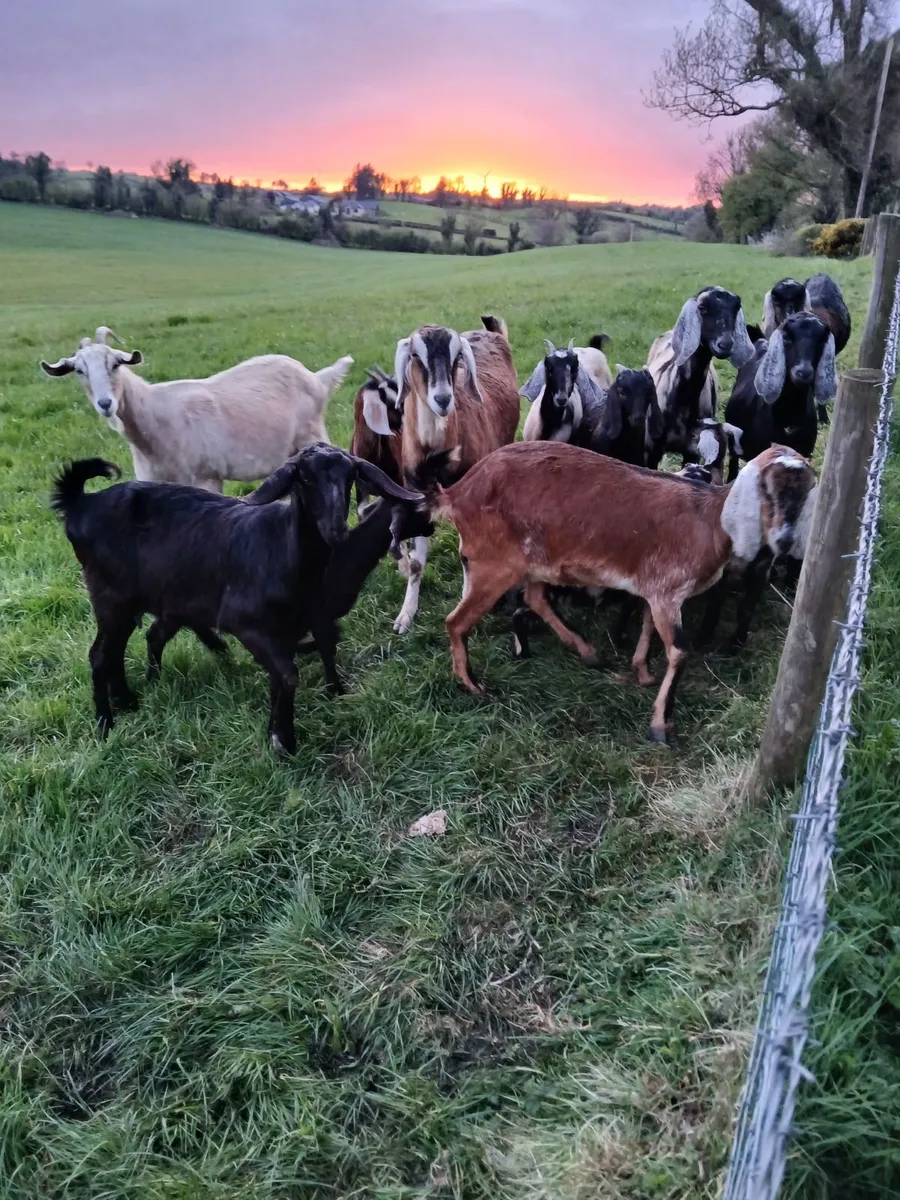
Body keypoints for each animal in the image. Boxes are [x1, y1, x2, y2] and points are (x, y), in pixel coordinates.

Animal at [41, 326, 353, 492]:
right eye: (79, 370)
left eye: (116, 363)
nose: (106, 404)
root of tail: (318, 378)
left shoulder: (206, 477)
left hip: (312, 434)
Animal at [51, 446, 422, 754]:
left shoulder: (292, 629)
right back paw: (105, 724)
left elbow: (284, 676)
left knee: (118, 649)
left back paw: (129, 700)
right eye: (304, 477)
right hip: (111, 597)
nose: (336, 531)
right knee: (100, 655)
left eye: (350, 477)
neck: (286, 554)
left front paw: (276, 729)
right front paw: (284, 740)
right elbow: (289, 675)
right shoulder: (246, 623)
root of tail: (80, 504)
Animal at [391, 314, 520, 633]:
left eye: (456, 356)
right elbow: (416, 563)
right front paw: (405, 616)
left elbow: (467, 554)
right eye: (415, 355)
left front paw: (467, 600)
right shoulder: (418, 497)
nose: (443, 399)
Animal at [410, 441, 814, 742]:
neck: (711, 519)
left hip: (531, 562)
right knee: (456, 621)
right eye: (767, 490)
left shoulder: (657, 589)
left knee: (534, 599)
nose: (784, 541)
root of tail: (458, 493)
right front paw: (660, 726)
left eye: (807, 492)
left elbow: (649, 626)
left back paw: (588, 653)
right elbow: (679, 651)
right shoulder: (668, 591)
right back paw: (472, 684)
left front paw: (642, 672)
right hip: (494, 564)